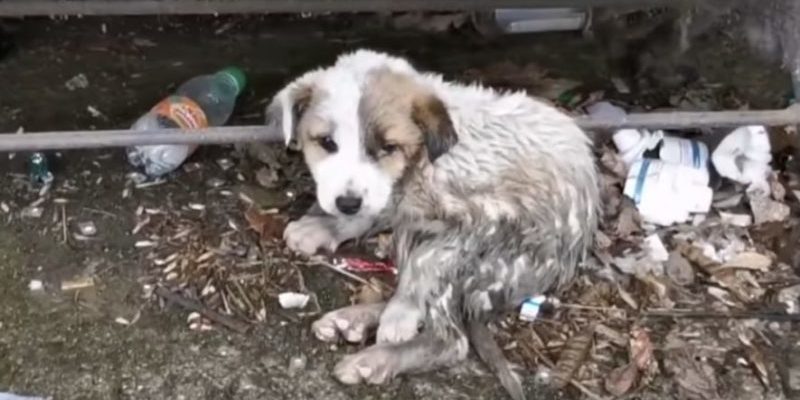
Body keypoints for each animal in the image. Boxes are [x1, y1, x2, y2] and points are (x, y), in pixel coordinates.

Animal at [266, 50, 596, 400]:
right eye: (327, 142)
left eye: (389, 147)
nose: (347, 204)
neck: (423, 159)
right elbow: (382, 209)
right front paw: (327, 225)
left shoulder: (483, 220)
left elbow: (424, 266)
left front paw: (400, 313)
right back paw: (351, 321)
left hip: (497, 260)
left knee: (450, 337)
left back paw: (374, 357)